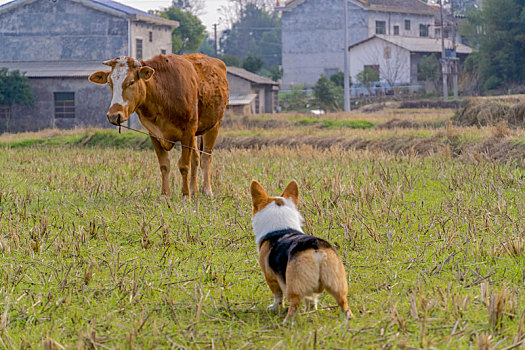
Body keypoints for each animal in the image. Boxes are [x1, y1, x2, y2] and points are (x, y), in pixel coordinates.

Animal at [88, 54, 229, 197]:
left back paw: (207, 191)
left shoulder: (188, 131)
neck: (164, 93)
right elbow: (164, 165)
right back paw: (194, 191)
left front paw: (185, 195)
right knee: (195, 158)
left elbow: (184, 165)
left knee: (206, 158)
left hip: (214, 125)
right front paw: (165, 195)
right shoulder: (154, 133)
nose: (113, 115)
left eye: (131, 82)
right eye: (109, 83)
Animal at [250, 182, 352, 322]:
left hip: (294, 286)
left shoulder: (270, 277)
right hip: (337, 283)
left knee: (293, 304)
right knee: (344, 303)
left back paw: (287, 321)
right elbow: (311, 300)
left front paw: (274, 308)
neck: (282, 228)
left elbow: (277, 296)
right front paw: (310, 312)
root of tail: (316, 249)